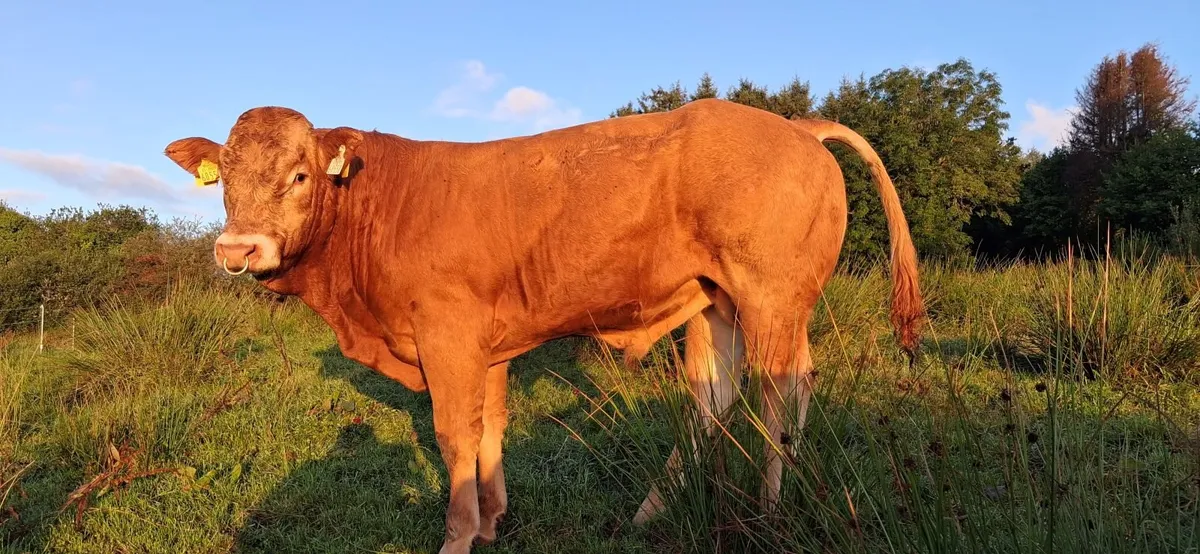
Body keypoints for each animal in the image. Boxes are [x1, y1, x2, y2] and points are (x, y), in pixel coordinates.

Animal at [163, 98, 924, 554]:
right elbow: (490, 428)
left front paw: (458, 535)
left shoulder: (447, 335)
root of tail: (794, 125)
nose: (237, 250)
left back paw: (767, 515)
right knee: (713, 400)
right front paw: (493, 521)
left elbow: (454, 435)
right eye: (223, 181)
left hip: (773, 300)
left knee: (782, 396)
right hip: (716, 305)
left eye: (298, 176)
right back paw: (650, 513)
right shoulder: (488, 345)